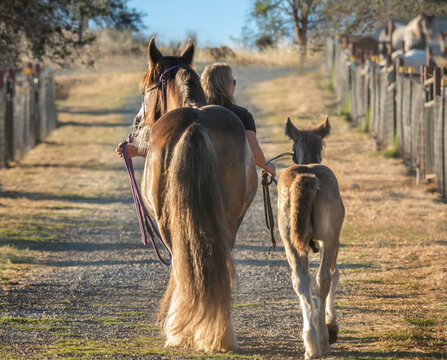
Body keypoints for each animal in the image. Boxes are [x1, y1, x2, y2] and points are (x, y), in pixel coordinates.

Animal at [133, 38, 258, 352]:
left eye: (144, 87)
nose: (138, 121)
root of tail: (195, 126)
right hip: (226, 222)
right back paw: (218, 333)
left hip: (168, 224)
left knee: (182, 265)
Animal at [276, 116, 346, 358]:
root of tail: (304, 178)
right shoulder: (332, 240)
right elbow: (334, 274)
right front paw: (331, 324)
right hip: (330, 236)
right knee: (323, 278)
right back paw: (323, 339)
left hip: (289, 240)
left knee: (300, 279)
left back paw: (311, 342)